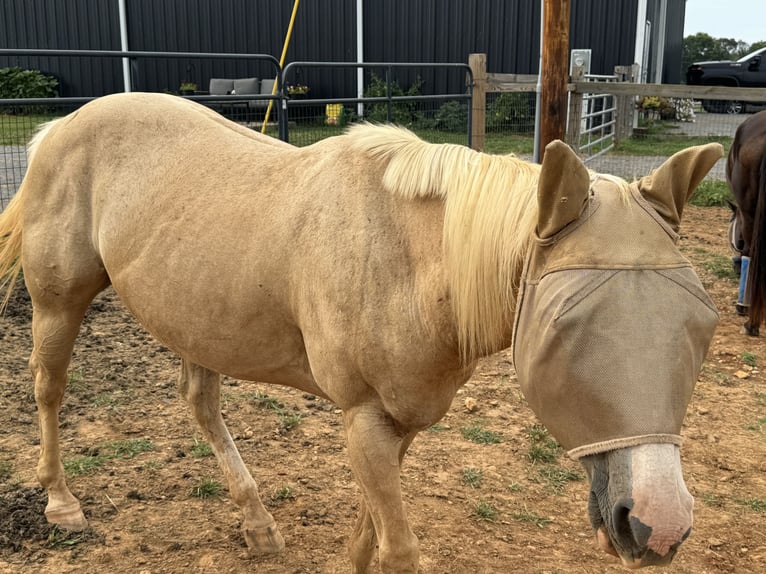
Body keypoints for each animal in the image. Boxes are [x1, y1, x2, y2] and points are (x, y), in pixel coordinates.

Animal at [0, 94, 724, 572]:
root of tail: (60, 126)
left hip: (195, 320)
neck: (409, 259)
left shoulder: (397, 422)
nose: (660, 524)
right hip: (58, 303)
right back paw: (61, 503)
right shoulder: (365, 417)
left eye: (701, 322)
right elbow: (397, 547)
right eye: (565, 324)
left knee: (200, 404)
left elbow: (370, 532)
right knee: (48, 389)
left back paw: (258, 524)